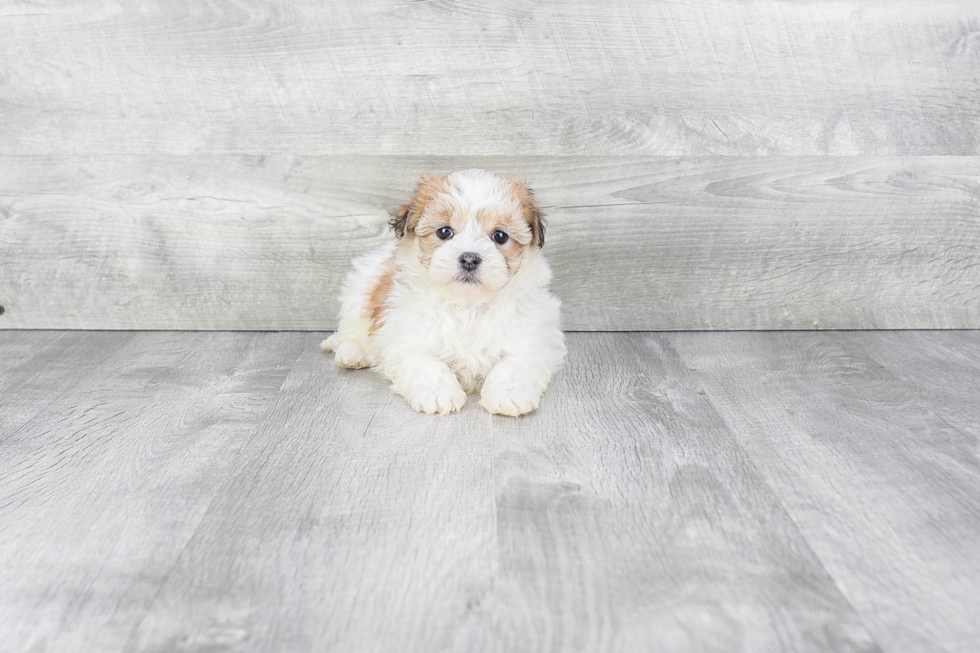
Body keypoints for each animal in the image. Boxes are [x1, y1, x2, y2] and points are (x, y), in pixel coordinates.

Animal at [324, 171, 568, 416]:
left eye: (500, 236)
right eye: (444, 232)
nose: (469, 258)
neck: (468, 305)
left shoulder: (532, 338)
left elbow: (514, 365)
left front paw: (509, 394)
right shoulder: (408, 338)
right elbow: (427, 364)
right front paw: (437, 393)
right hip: (358, 295)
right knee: (350, 333)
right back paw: (352, 355)